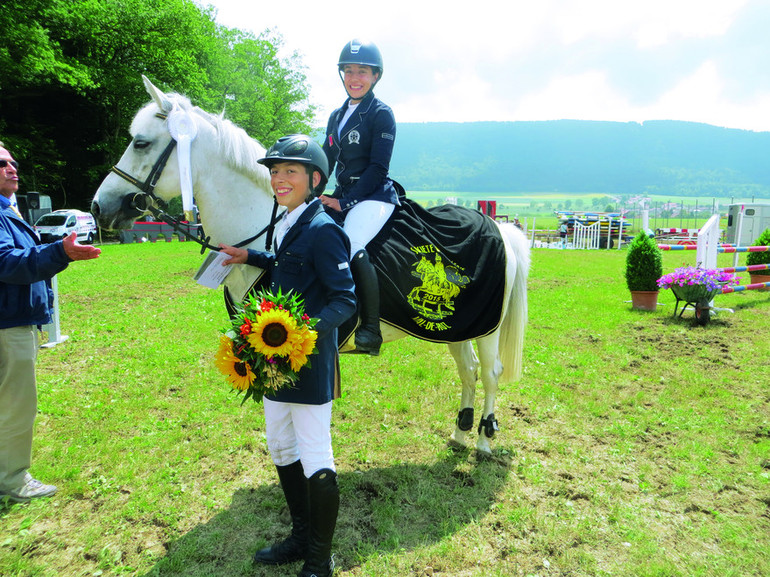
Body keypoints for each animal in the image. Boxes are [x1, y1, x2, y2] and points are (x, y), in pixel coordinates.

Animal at [93, 75, 528, 454]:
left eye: (141, 143)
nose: (99, 207)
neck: (273, 225)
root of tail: (498, 227)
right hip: (460, 326)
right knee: (469, 370)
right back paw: (459, 434)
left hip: (487, 328)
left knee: (490, 373)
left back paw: (484, 439)